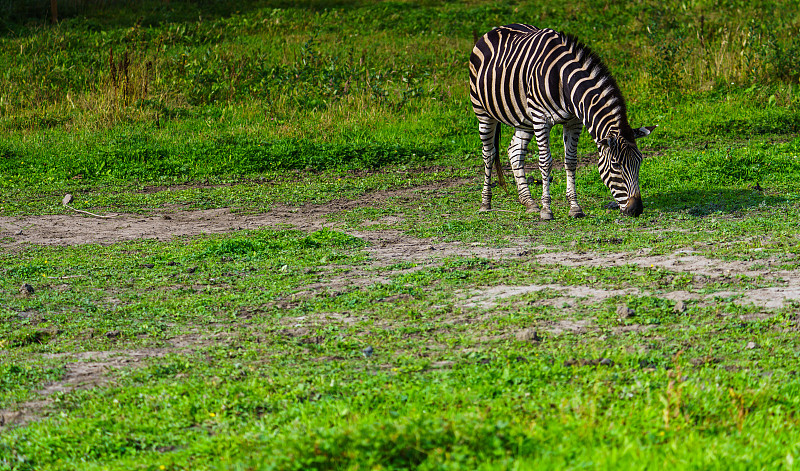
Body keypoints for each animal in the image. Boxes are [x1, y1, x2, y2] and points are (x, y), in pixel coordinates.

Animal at [468, 24, 656, 219]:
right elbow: (545, 162)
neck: (563, 80)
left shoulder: (573, 121)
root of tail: (495, 29)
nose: (636, 210)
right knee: (489, 154)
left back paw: (529, 202)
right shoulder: (541, 119)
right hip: (483, 111)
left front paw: (574, 207)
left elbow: (571, 161)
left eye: (639, 162)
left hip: (524, 118)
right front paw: (546, 209)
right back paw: (485, 203)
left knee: (515, 151)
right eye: (616, 165)